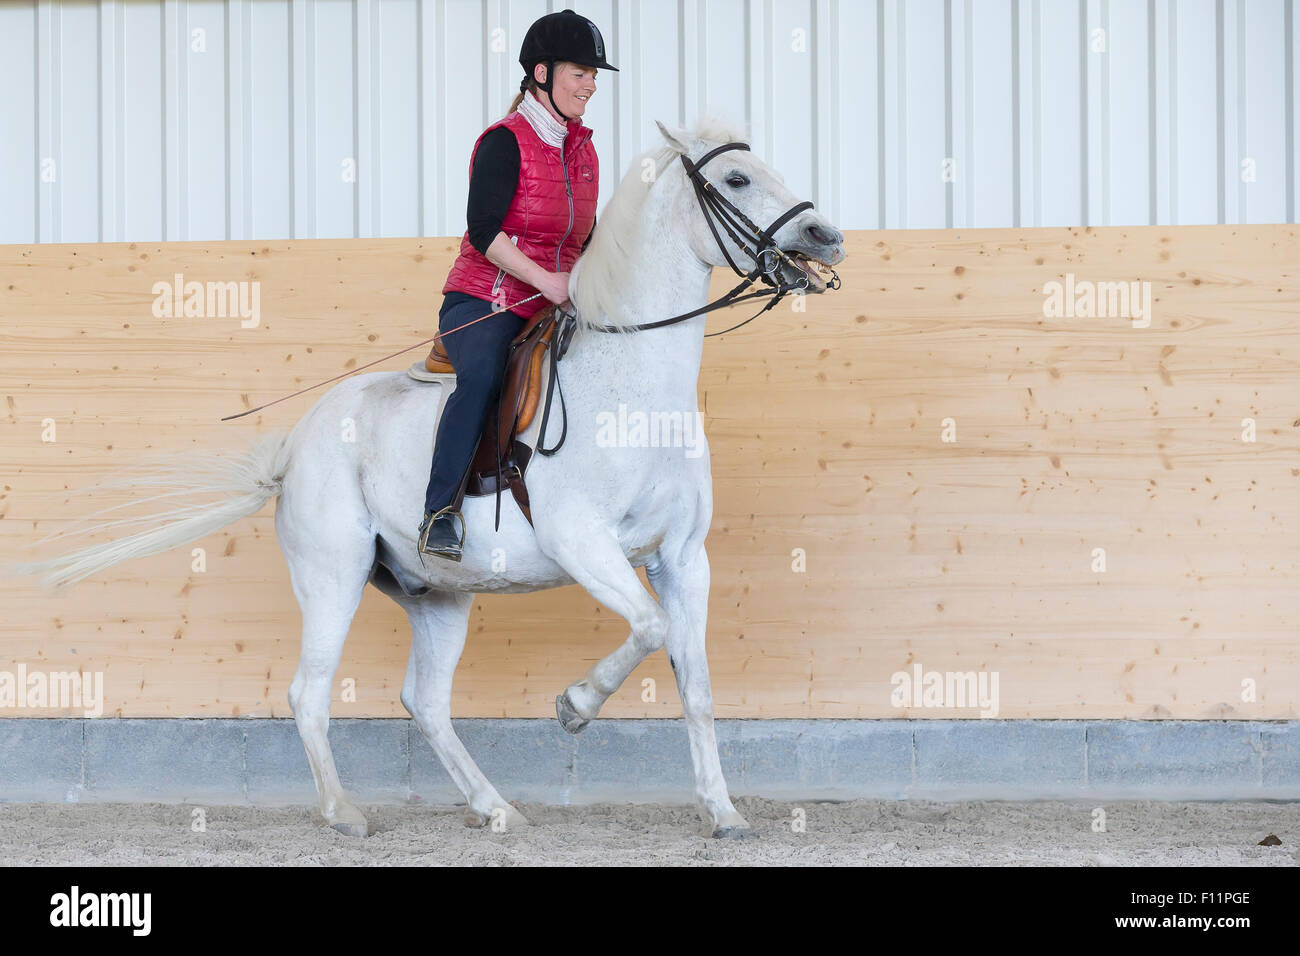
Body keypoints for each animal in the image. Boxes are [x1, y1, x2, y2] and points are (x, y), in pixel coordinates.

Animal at [13, 116, 846, 838]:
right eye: (736, 178)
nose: (826, 236)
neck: (633, 387)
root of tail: (297, 447)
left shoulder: (682, 558)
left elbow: (696, 686)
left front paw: (724, 814)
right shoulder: (583, 542)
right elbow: (647, 627)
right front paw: (574, 706)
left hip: (439, 596)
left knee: (426, 700)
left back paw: (496, 808)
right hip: (334, 576)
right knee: (310, 691)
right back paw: (345, 814)